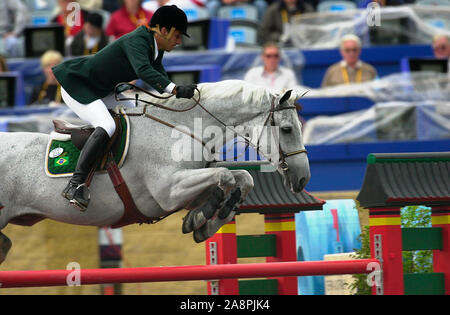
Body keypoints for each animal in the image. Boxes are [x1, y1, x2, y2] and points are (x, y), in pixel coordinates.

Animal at [0, 80, 310, 266]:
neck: (182, 127)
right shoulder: (168, 192)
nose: (302, 178)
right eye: (286, 129)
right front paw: (203, 216)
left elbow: (242, 178)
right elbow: (225, 175)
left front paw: (205, 220)